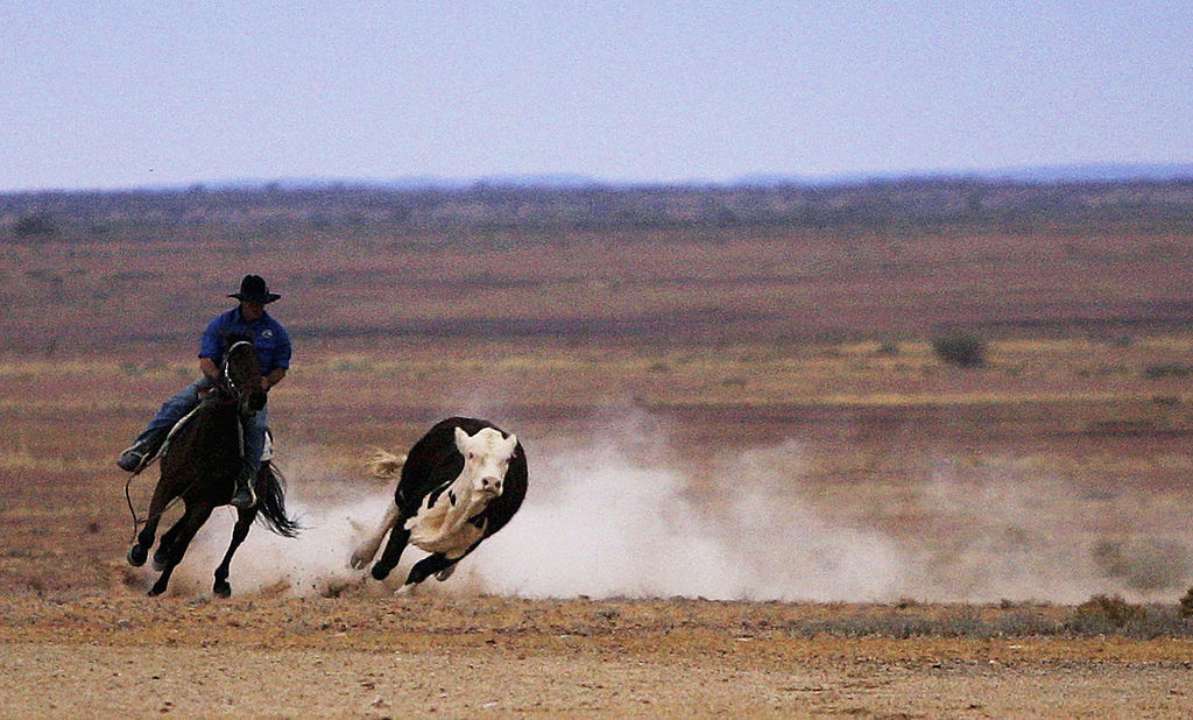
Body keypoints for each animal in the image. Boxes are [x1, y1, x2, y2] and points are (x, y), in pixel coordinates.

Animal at [125, 338, 298, 596]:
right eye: (233, 361)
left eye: (258, 360)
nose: (256, 398)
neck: (206, 444)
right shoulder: (167, 484)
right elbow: (149, 531)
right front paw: (139, 554)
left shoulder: (205, 502)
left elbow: (181, 549)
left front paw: (159, 586)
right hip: (192, 496)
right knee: (182, 522)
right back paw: (161, 551)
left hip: (245, 504)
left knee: (238, 535)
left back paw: (220, 581)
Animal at [348, 417, 527, 591]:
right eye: (471, 454)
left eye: (507, 459)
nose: (491, 482)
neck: (453, 514)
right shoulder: (406, 521)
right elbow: (386, 563)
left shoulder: (462, 548)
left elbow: (421, 569)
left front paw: (402, 593)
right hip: (406, 486)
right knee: (391, 513)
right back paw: (361, 556)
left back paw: (446, 572)